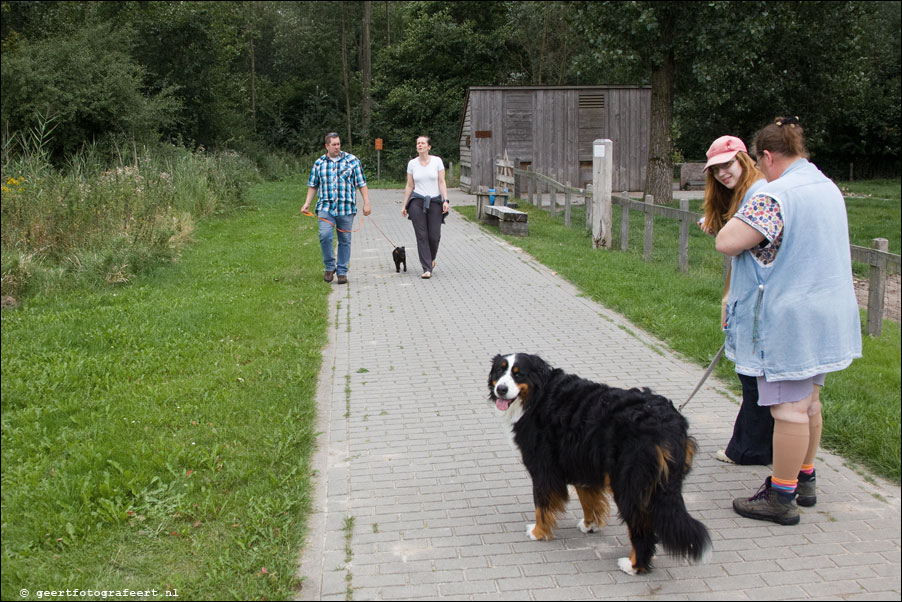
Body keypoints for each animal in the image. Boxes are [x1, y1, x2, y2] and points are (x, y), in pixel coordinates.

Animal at [488, 352, 712, 572]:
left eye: (518, 374)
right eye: (500, 371)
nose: (501, 389)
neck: (539, 397)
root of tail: (667, 423)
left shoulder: (543, 467)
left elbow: (541, 504)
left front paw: (538, 531)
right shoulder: (580, 460)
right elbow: (589, 499)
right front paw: (590, 525)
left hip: (628, 483)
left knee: (641, 526)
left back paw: (634, 565)